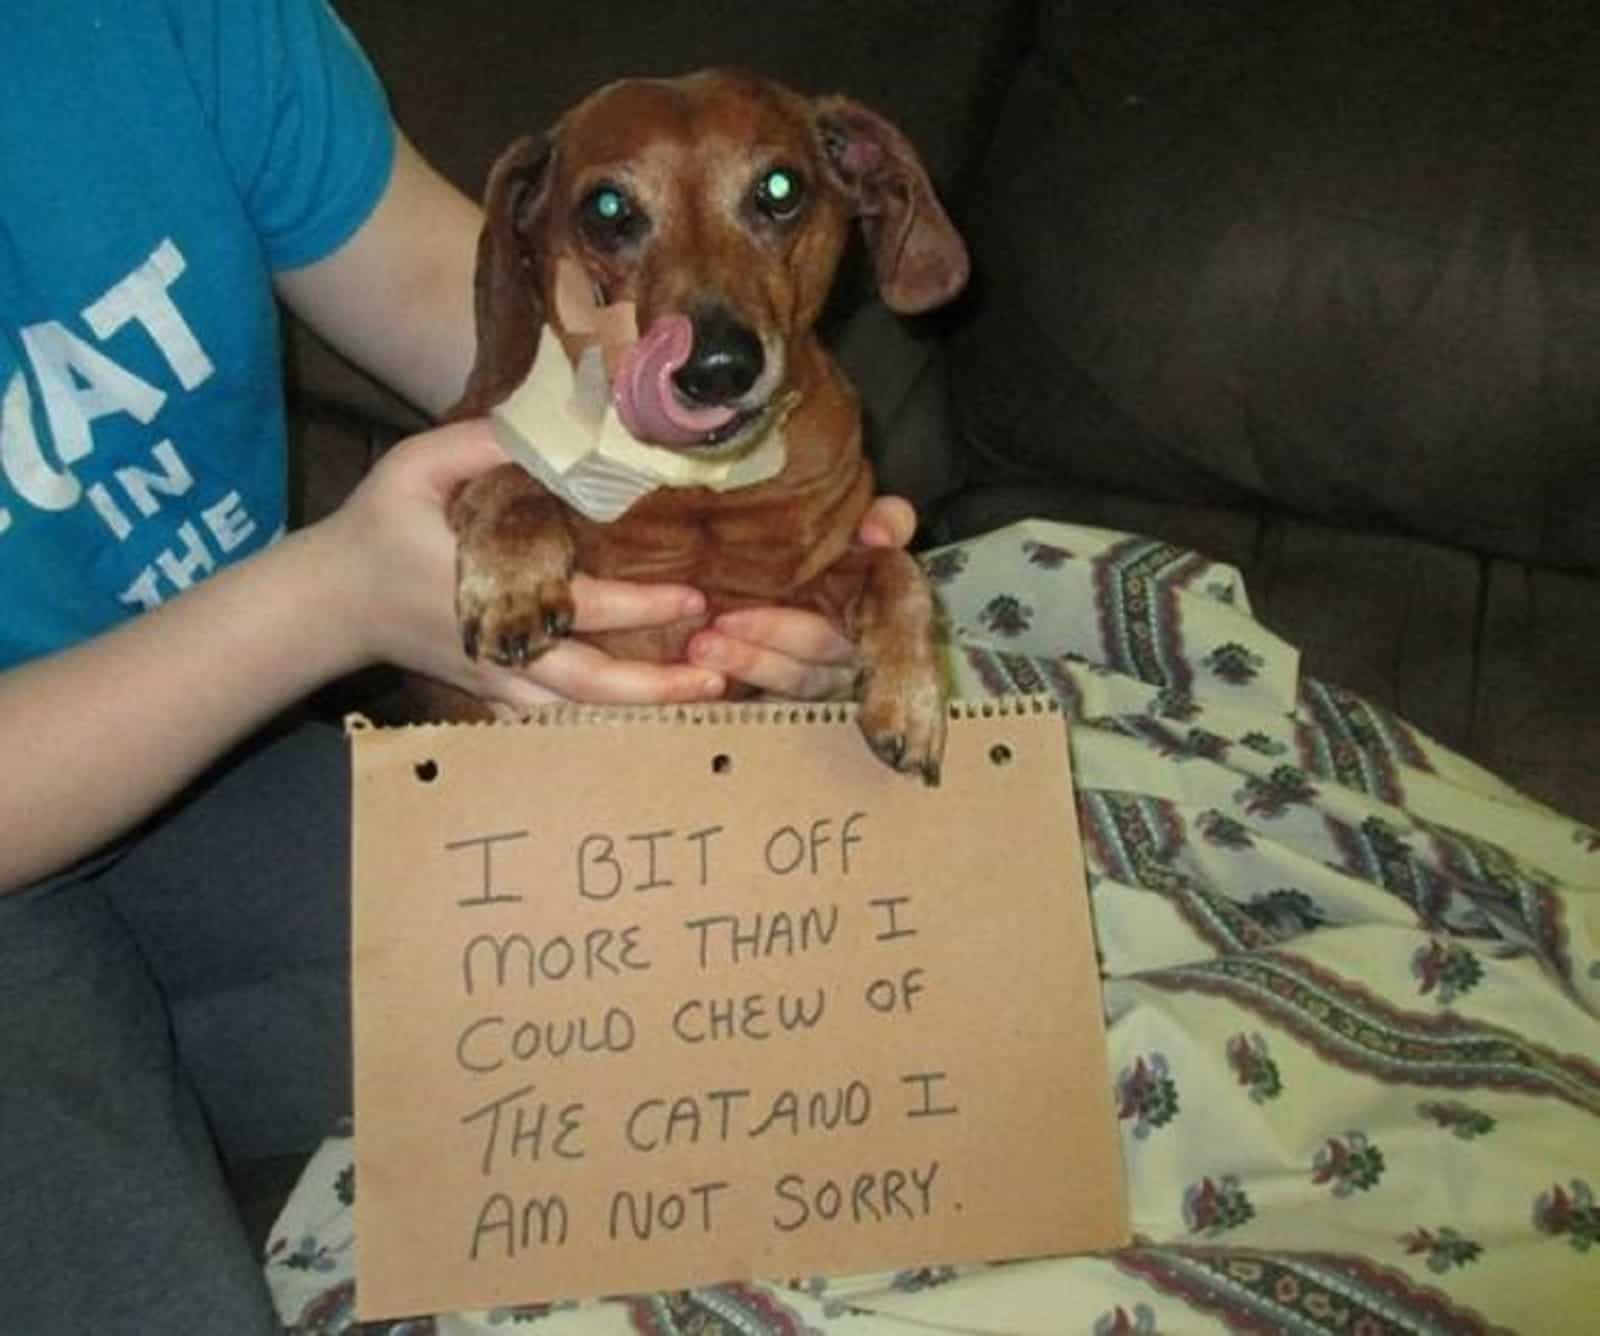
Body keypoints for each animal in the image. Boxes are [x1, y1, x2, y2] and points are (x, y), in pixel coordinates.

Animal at [435, 70, 960, 784]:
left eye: (780, 190)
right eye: (606, 208)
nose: (718, 368)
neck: (696, 485)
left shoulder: (791, 591)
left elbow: (897, 569)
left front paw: (910, 693)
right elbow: (508, 476)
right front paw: (512, 574)